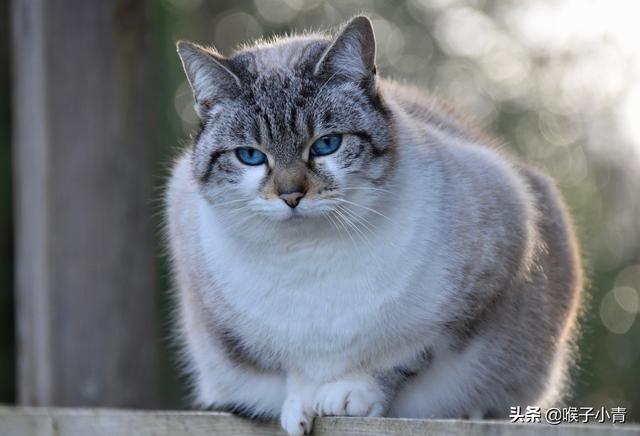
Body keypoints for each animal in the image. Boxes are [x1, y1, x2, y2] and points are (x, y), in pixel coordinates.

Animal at [166, 15, 584, 434]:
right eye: (250, 156)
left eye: (326, 144)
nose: (291, 195)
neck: (309, 257)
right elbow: (294, 371)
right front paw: (300, 406)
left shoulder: (467, 295)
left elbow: (398, 361)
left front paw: (351, 395)